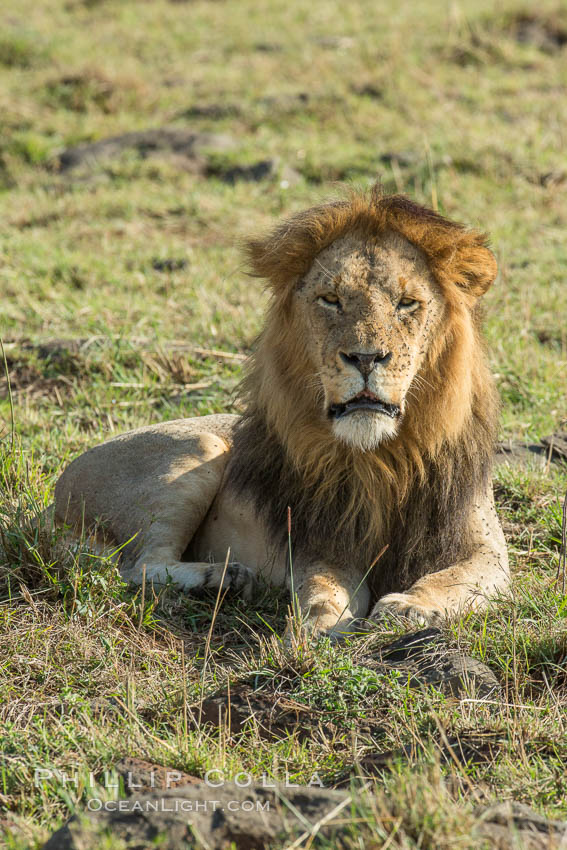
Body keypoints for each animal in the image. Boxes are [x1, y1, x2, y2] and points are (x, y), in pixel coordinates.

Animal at [55, 187, 512, 636]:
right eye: (331, 300)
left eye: (407, 303)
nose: (365, 358)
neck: (381, 458)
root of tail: (52, 503)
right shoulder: (321, 546)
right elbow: (322, 587)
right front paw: (318, 625)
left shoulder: (486, 550)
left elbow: (450, 579)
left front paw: (409, 606)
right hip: (200, 448)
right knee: (137, 566)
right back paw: (222, 578)